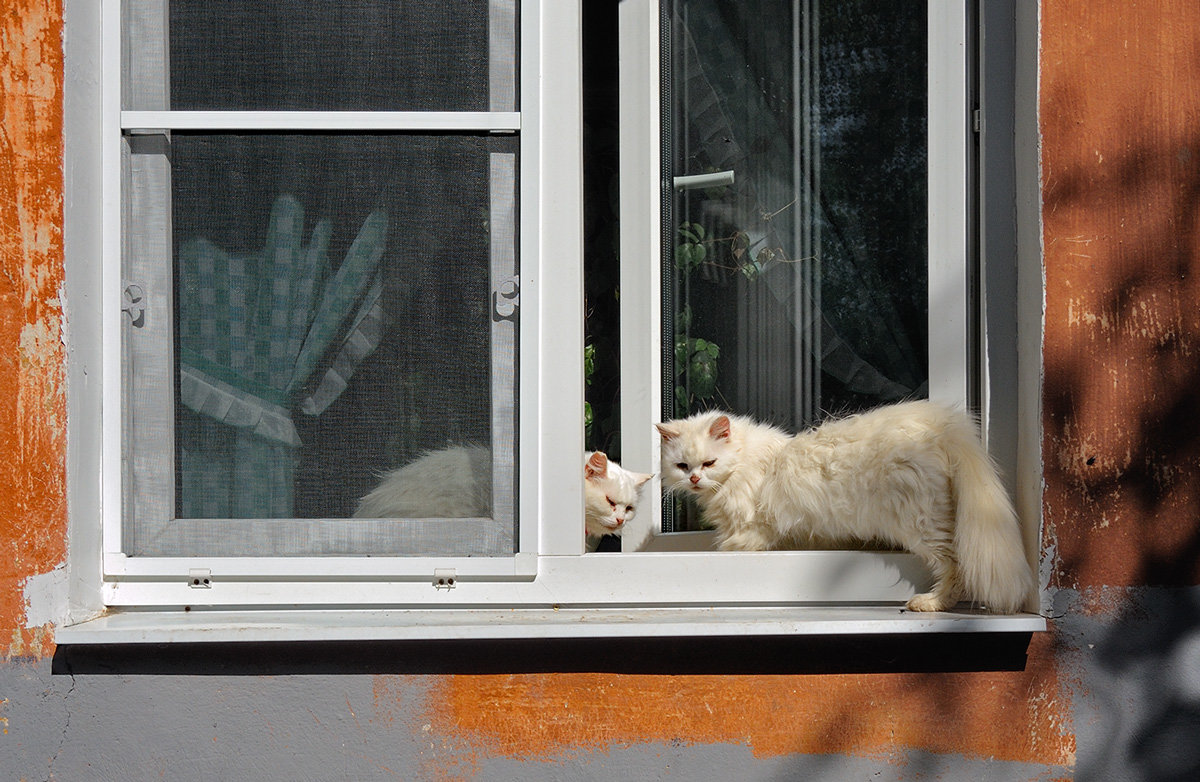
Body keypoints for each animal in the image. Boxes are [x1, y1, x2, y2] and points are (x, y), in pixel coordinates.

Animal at [657, 400, 1032, 614]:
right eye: (682, 466)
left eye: (709, 463)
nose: (694, 479)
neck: (748, 461)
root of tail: (942, 424)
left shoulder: (753, 525)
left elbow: (741, 543)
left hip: (919, 522)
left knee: (954, 565)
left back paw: (931, 603)